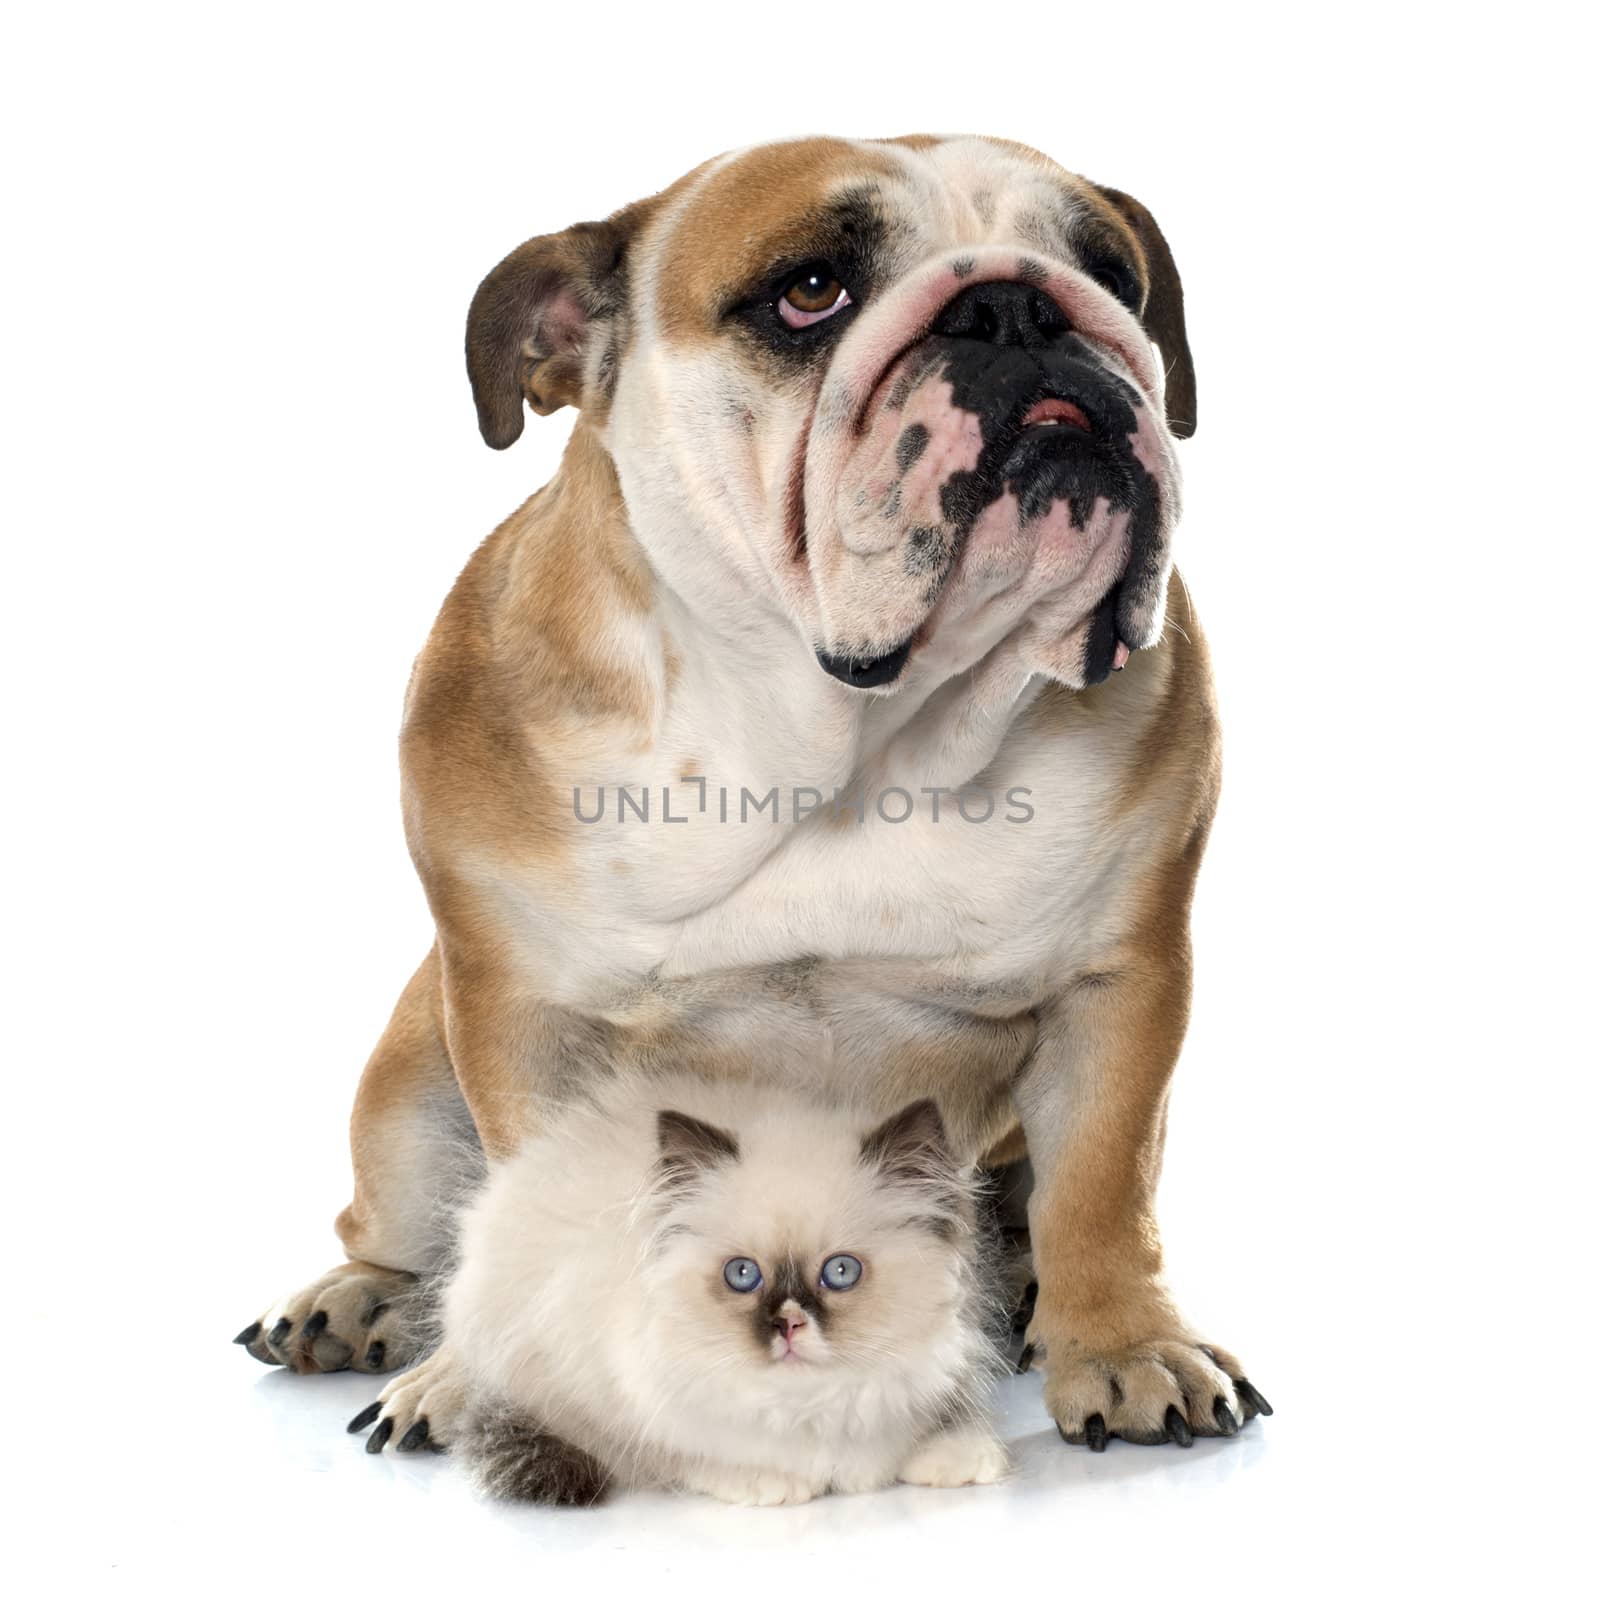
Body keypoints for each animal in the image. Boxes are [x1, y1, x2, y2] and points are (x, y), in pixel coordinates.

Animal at [444, 1068, 1004, 1504]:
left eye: (841, 1272)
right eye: (742, 1275)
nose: (788, 1324)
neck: (808, 1406)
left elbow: (945, 1422)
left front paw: (963, 1460)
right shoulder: (608, 1397)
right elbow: (682, 1455)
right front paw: (767, 1483)